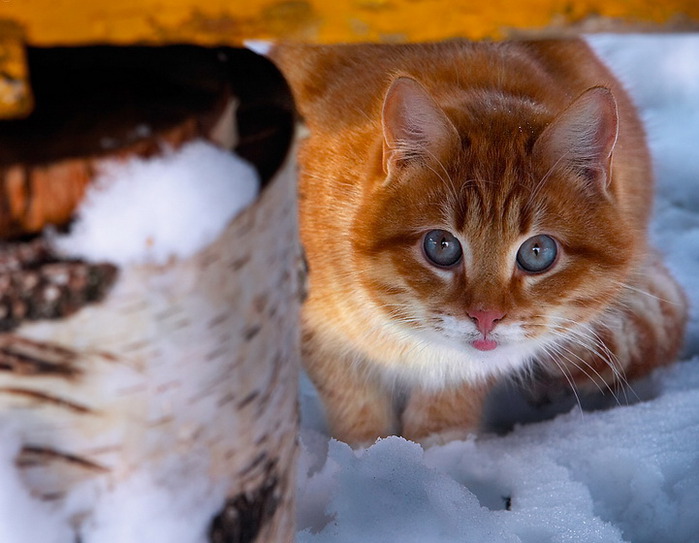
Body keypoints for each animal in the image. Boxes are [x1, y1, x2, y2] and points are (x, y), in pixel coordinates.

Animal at [272, 39, 688, 446]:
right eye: (441, 246)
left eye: (538, 252)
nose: (486, 317)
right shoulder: (318, 332)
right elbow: (354, 405)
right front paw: (372, 456)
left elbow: (446, 407)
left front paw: (438, 455)